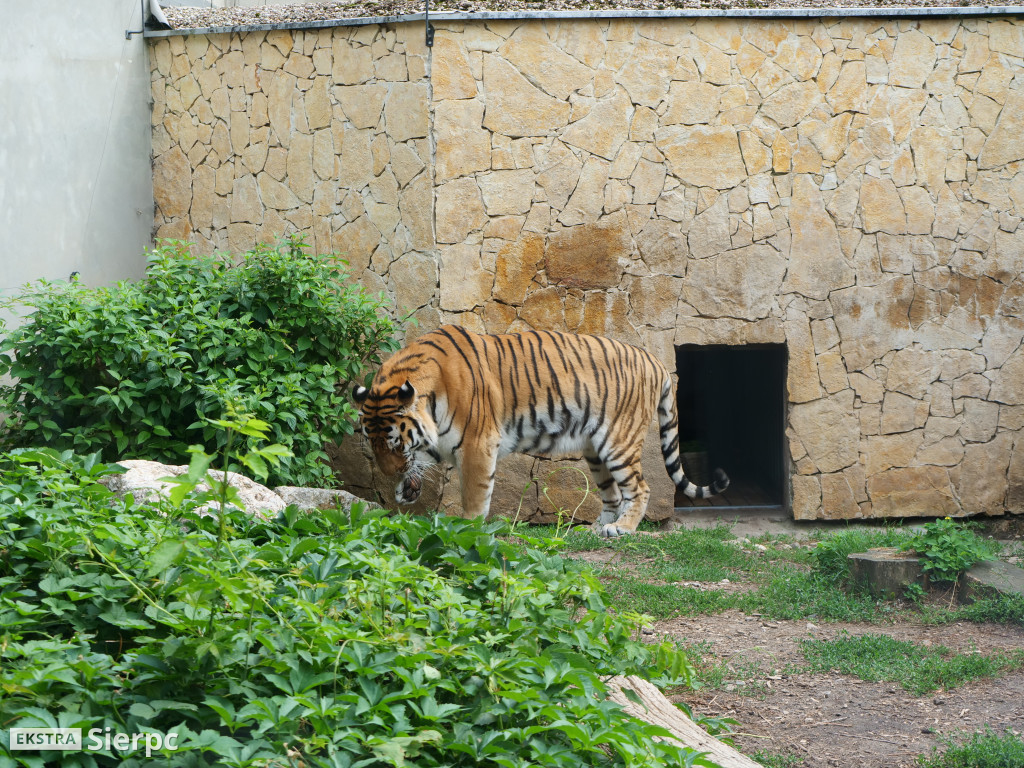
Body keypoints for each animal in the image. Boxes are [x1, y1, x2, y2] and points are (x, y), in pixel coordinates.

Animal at [352, 327, 729, 536]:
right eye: (373, 443)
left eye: (395, 444)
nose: (389, 474)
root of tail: (656, 361)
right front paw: (407, 488)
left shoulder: (477, 444)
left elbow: (474, 497)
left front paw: (467, 531)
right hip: (595, 450)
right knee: (613, 493)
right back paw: (593, 530)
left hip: (618, 442)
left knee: (640, 488)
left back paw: (622, 529)